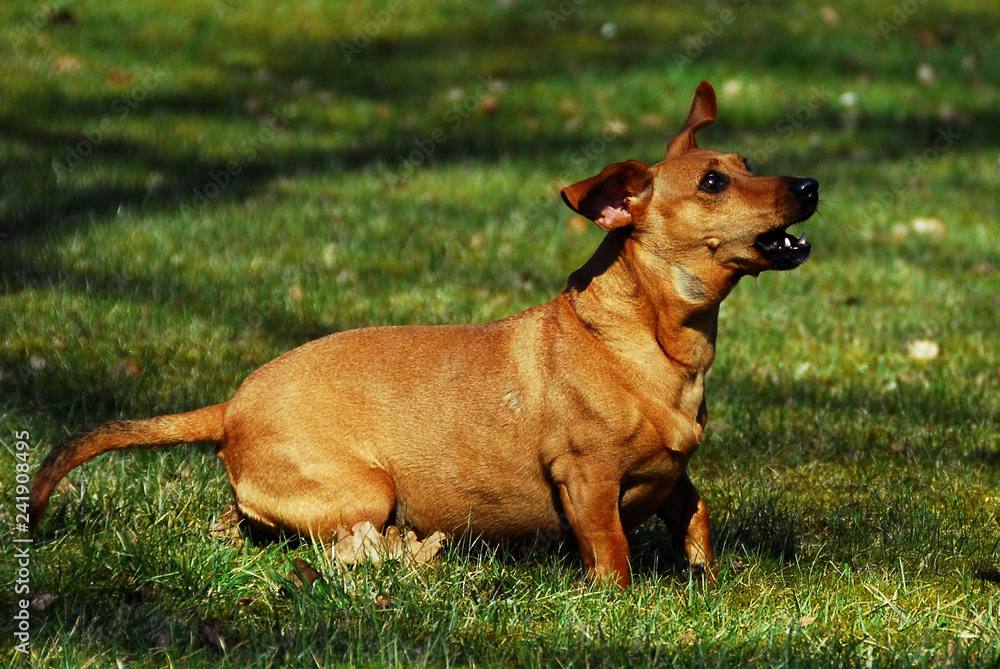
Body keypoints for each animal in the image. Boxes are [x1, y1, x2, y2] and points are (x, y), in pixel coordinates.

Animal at [29, 82, 820, 584]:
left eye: (747, 165)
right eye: (714, 183)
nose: (810, 184)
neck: (643, 342)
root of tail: (230, 408)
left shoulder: (675, 477)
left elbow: (697, 516)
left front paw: (705, 579)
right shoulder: (588, 481)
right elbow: (613, 557)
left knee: (238, 527)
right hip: (366, 491)